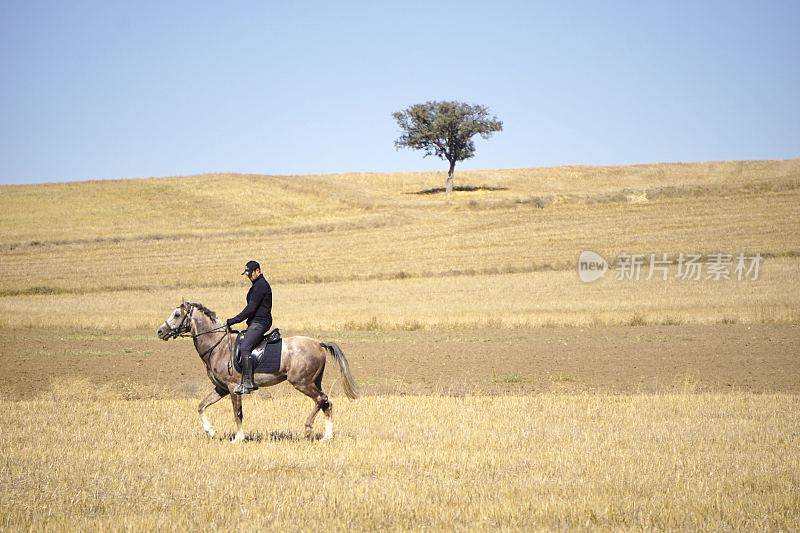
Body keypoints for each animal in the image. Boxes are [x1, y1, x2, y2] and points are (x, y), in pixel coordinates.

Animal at [156, 300, 356, 440]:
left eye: (176, 314)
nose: (160, 332)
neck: (218, 346)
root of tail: (317, 343)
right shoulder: (221, 388)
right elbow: (201, 406)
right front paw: (211, 432)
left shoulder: (233, 388)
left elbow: (237, 414)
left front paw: (238, 438)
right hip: (314, 381)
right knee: (327, 403)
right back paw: (327, 437)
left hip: (302, 383)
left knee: (321, 400)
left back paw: (307, 428)